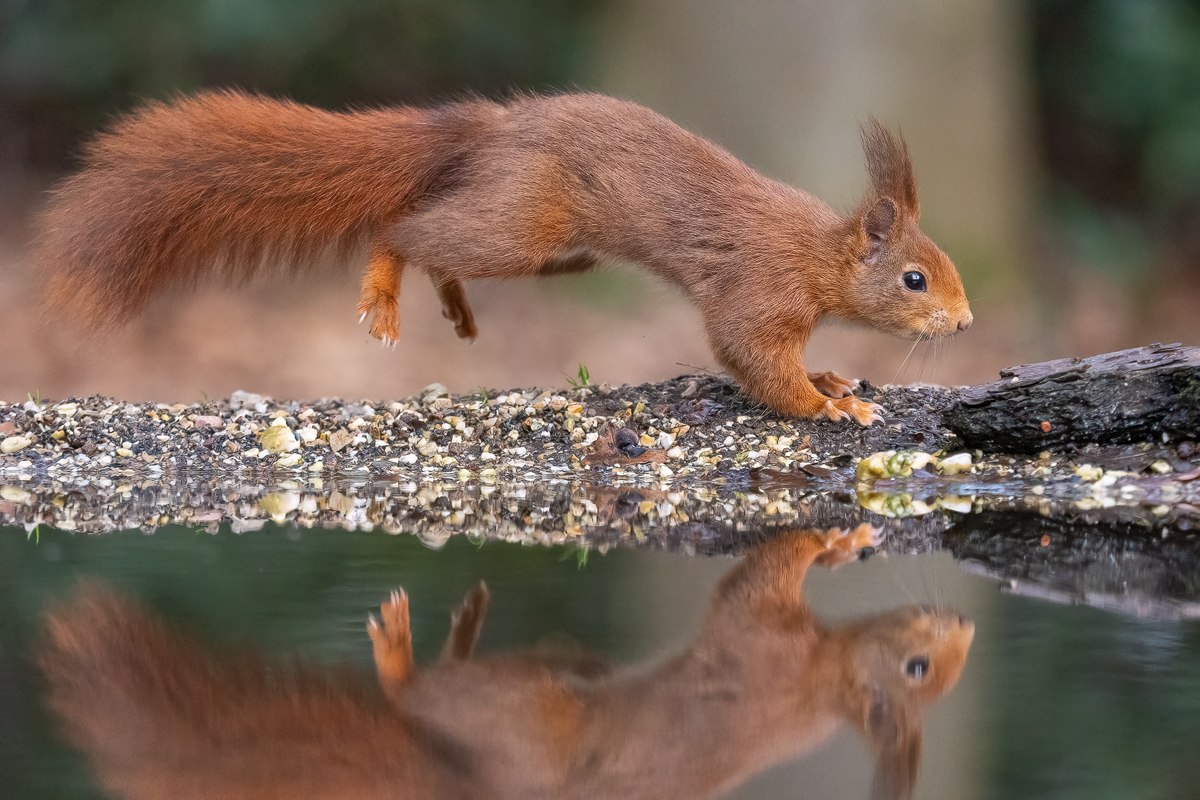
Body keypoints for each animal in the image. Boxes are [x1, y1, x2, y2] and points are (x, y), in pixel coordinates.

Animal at [36, 91, 971, 425]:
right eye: (915, 278)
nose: (964, 323)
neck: (820, 254)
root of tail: (492, 127)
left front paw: (833, 380)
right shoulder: (758, 291)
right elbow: (751, 356)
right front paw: (826, 408)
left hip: (556, 251)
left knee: (440, 241)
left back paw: (453, 301)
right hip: (523, 225)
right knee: (405, 229)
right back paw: (385, 289)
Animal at [39, 526, 973, 800]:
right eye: (918, 671)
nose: (964, 620)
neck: (822, 681)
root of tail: (469, 780)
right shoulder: (760, 645)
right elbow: (762, 577)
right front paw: (838, 539)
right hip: (524, 709)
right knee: (415, 695)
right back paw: (399, 647)